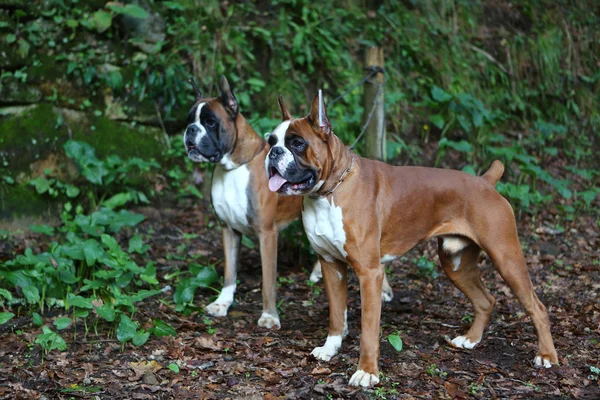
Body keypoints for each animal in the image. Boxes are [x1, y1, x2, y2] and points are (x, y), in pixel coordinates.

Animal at [184, 77, 394, 328]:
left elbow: (268, 281)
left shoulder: (267, 234)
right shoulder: (229, 230)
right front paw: (222, 303)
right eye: (189, 120)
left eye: (210, 122)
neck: (232, 168)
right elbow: (229, 273)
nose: (190, 129)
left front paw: (269, 316)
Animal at [266, 91, 556, 388]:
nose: (273, 153)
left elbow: (369, 329)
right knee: (486, 301)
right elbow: (336, 315)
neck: (330, 191)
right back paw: (471, 339)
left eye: (297, 143)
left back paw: (546, 356)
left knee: (537, 307)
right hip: (456, 264)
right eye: (271, 141)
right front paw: (330, 348)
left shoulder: (370, 274)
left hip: (506, 258)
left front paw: (367, 372)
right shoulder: (330, 266)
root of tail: (485, 181)